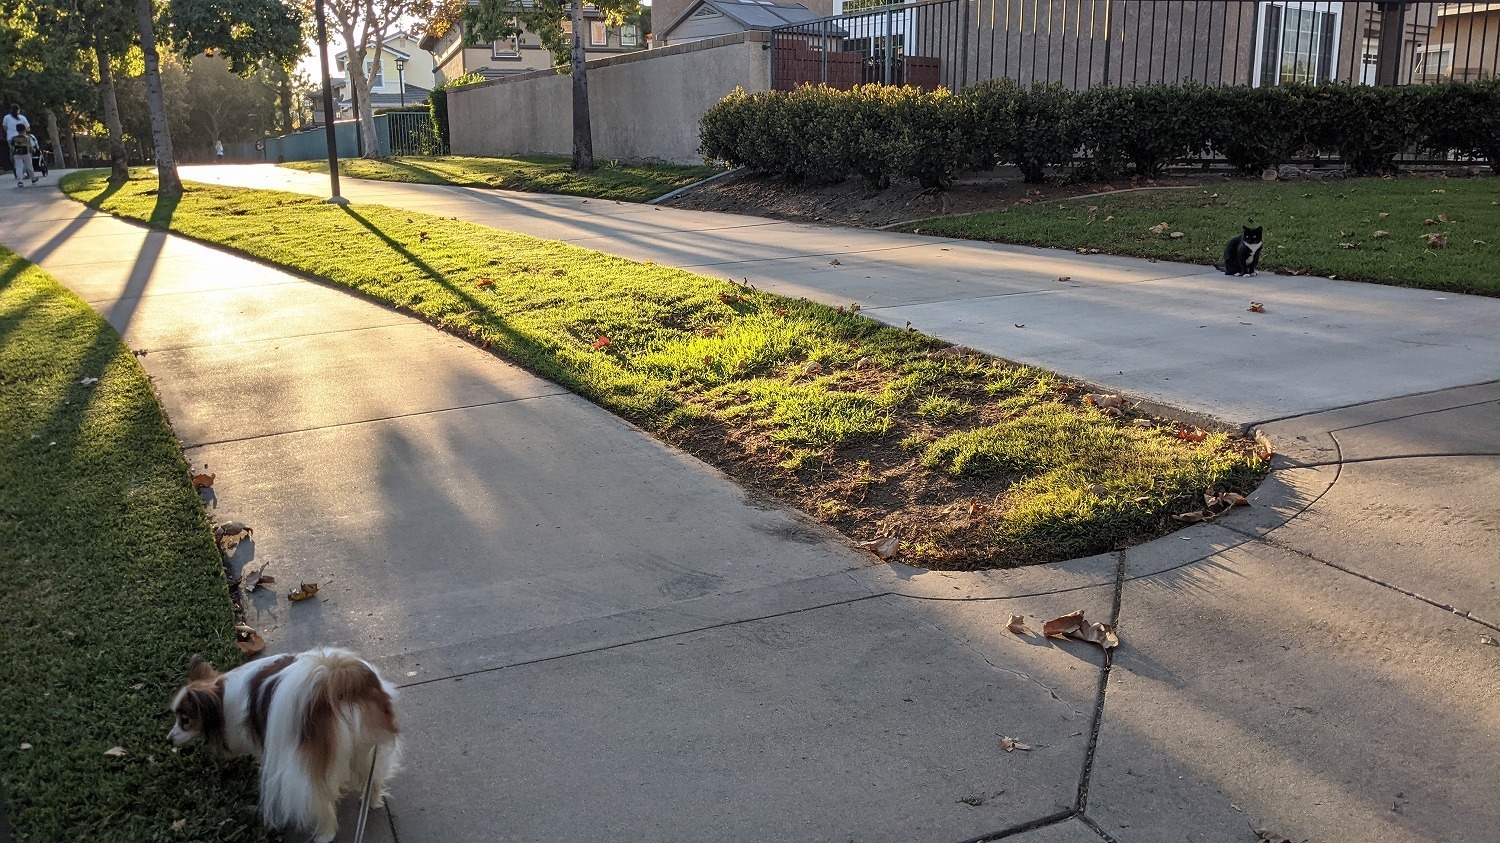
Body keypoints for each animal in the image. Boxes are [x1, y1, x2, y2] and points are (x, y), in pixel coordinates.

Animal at [169, 645, 402, 834]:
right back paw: (371, 801)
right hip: (367, 746)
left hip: (308, 769)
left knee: (320, 803)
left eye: (185, 720)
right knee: (372, 777)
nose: (169, 739)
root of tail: (336, 681)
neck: (220, 697)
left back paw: (324, 835)